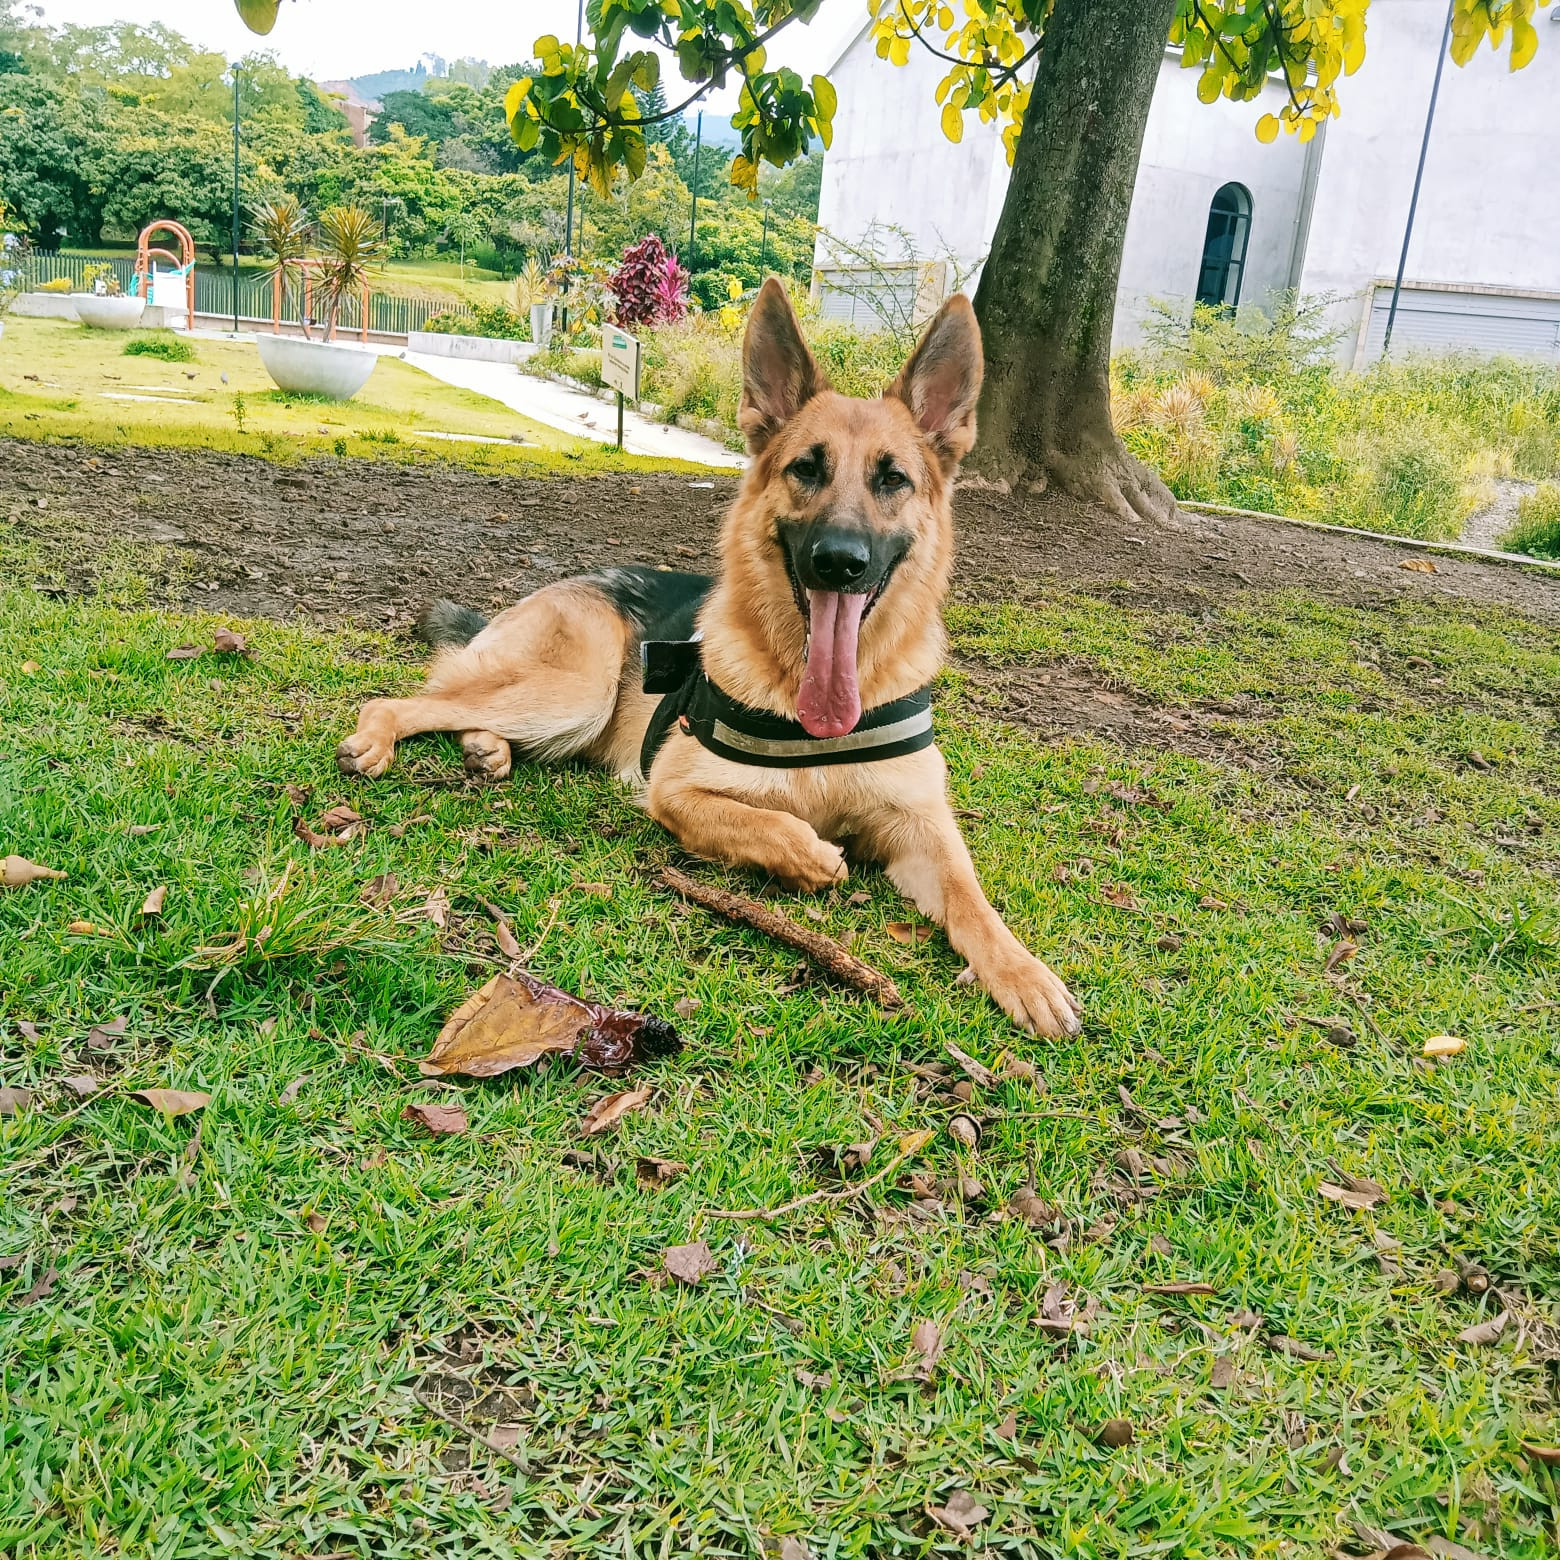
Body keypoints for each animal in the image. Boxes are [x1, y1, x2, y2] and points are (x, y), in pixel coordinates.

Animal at [338, 279, 1081, 1036]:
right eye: (806, 469)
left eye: (893, 479)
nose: (839, 562)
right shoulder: (675, 789)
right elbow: (769, 822)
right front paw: (813, 857)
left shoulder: (923, 827)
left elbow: (971, 895)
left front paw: (1023, 972)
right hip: (577, 689)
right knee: (404, 699)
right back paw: (382, 739)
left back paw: (487, 749)